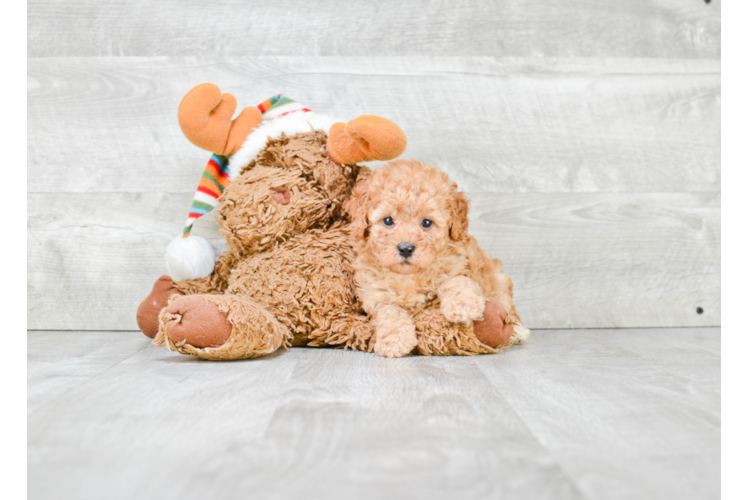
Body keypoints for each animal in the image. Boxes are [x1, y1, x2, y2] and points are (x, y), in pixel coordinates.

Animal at [348, 159, 528, 356]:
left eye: (426, 223)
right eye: (388, 221)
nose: (406, 248)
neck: (408, 275)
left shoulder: (460, 265)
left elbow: (456, 281)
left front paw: (463, 305)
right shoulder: (376, 296)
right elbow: (390, 312)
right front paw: (395, 341)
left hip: (499, 280)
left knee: (508, 307)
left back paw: (518, 331)